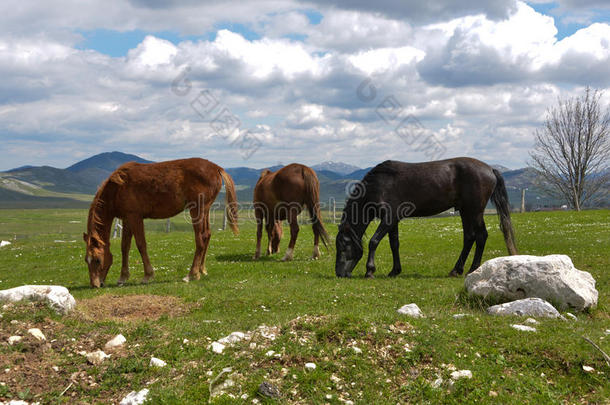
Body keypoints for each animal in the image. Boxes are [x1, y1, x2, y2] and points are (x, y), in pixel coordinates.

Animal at [82, 158, 238, 288]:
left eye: (97, 260)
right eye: (86, 260)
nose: (95, 284)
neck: (118, 188)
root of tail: (216, 168)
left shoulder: (135, 217)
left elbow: (141, 245)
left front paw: (147, 275)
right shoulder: (127, 219)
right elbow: (125, 246)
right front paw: (123, 277)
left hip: (197, 211)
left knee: (200, 240)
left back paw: (191, 274)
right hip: (204, 210)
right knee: (207, 235)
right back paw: (201, 270)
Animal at [334, 156, 516, 276]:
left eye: (343, 246)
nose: (339, 273)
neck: (379, 185)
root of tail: (490, 169)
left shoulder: (389, 218)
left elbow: (374, 241)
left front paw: (370, 271)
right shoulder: (393, 221)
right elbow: (394, 244)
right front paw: (395, 271)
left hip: (474, 211)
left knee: (481, 236)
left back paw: (472, 269)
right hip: (466, 211)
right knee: (469, 237)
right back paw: (456, 270)